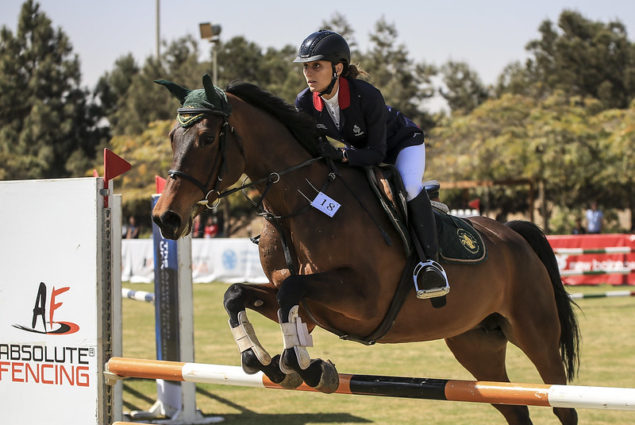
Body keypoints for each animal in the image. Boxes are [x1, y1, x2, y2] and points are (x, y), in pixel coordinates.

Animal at [152, 75, 580, 424]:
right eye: (173, 138)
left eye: (208, 138)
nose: (165, 218)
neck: (300, 204)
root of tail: (513, 235)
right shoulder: (306, 307)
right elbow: (238, 294)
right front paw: (262, 361)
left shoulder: (365, 299)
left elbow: (290, 293)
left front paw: (305, 367)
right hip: (476, 342)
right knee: (515, 407)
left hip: (535, 333)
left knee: (562, 403)